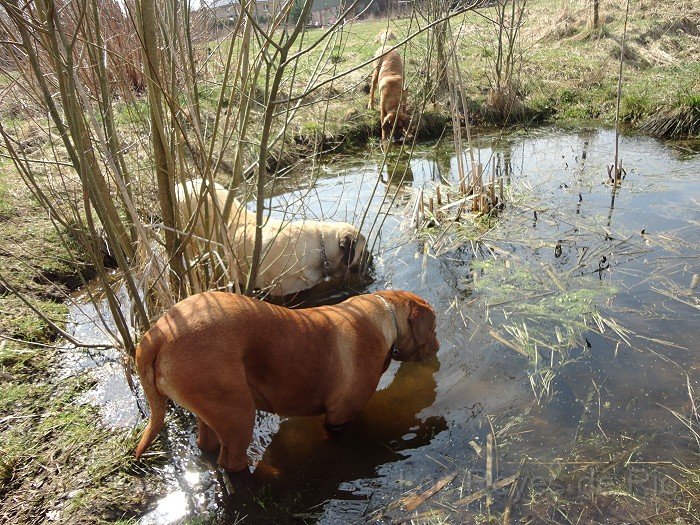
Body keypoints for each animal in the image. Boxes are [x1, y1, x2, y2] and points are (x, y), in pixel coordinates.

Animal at [133, 290, 438, 470]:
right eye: (433, 329)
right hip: (238, 414)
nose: (437, 346)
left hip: (211, 412)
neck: (384, 317)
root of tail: (158, 333)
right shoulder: (339, 417)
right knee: (232, 461)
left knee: (207, 444)